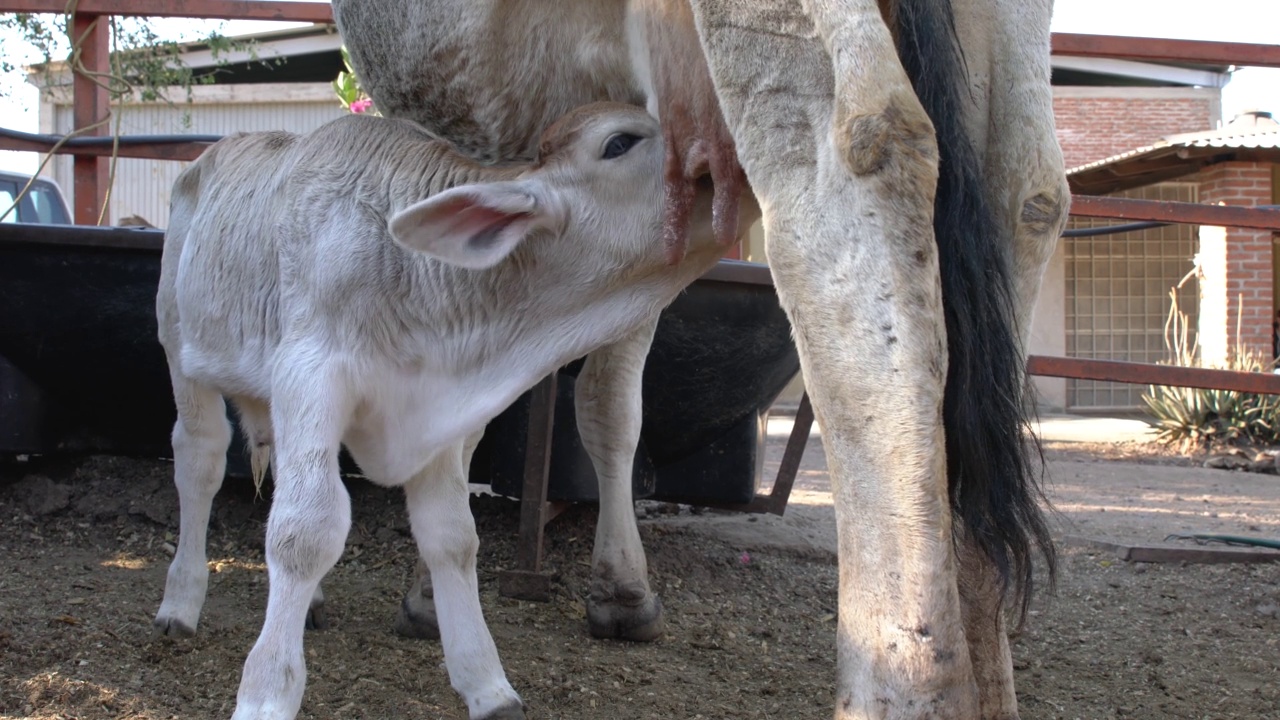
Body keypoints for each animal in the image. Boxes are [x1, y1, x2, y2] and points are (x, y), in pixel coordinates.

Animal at [153, 102, 757, 717]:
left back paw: (313, 603)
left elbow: (452, 536)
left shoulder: (435, 404)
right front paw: (266, 692)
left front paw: (486, 683)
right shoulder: (310, 372)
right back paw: (180, 603)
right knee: (199, 461)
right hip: (177, 341)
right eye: (618, 144)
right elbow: (306, 530)